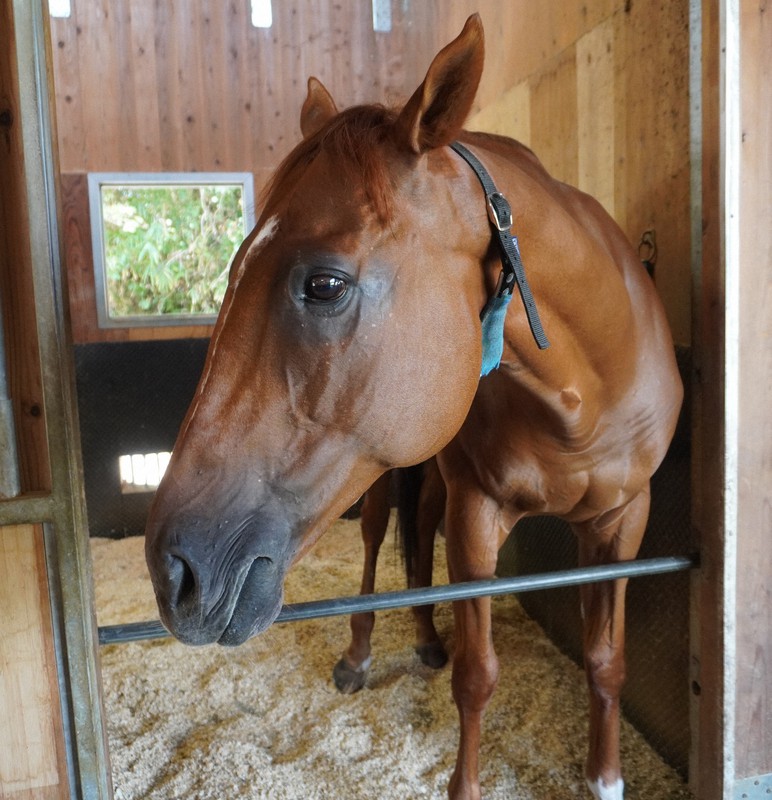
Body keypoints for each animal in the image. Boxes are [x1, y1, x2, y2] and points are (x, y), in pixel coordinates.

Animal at [144, 14, 683, 800]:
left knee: (419, 536)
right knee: (381, 540)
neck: (581, 396)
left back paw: (427, 639)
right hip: (387, 480)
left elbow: (607, 662)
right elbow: (478, 674)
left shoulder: (623, 521)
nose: (176, 570)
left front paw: (606, 778)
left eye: (325, 285)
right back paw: (361, 656)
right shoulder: (477, 514)